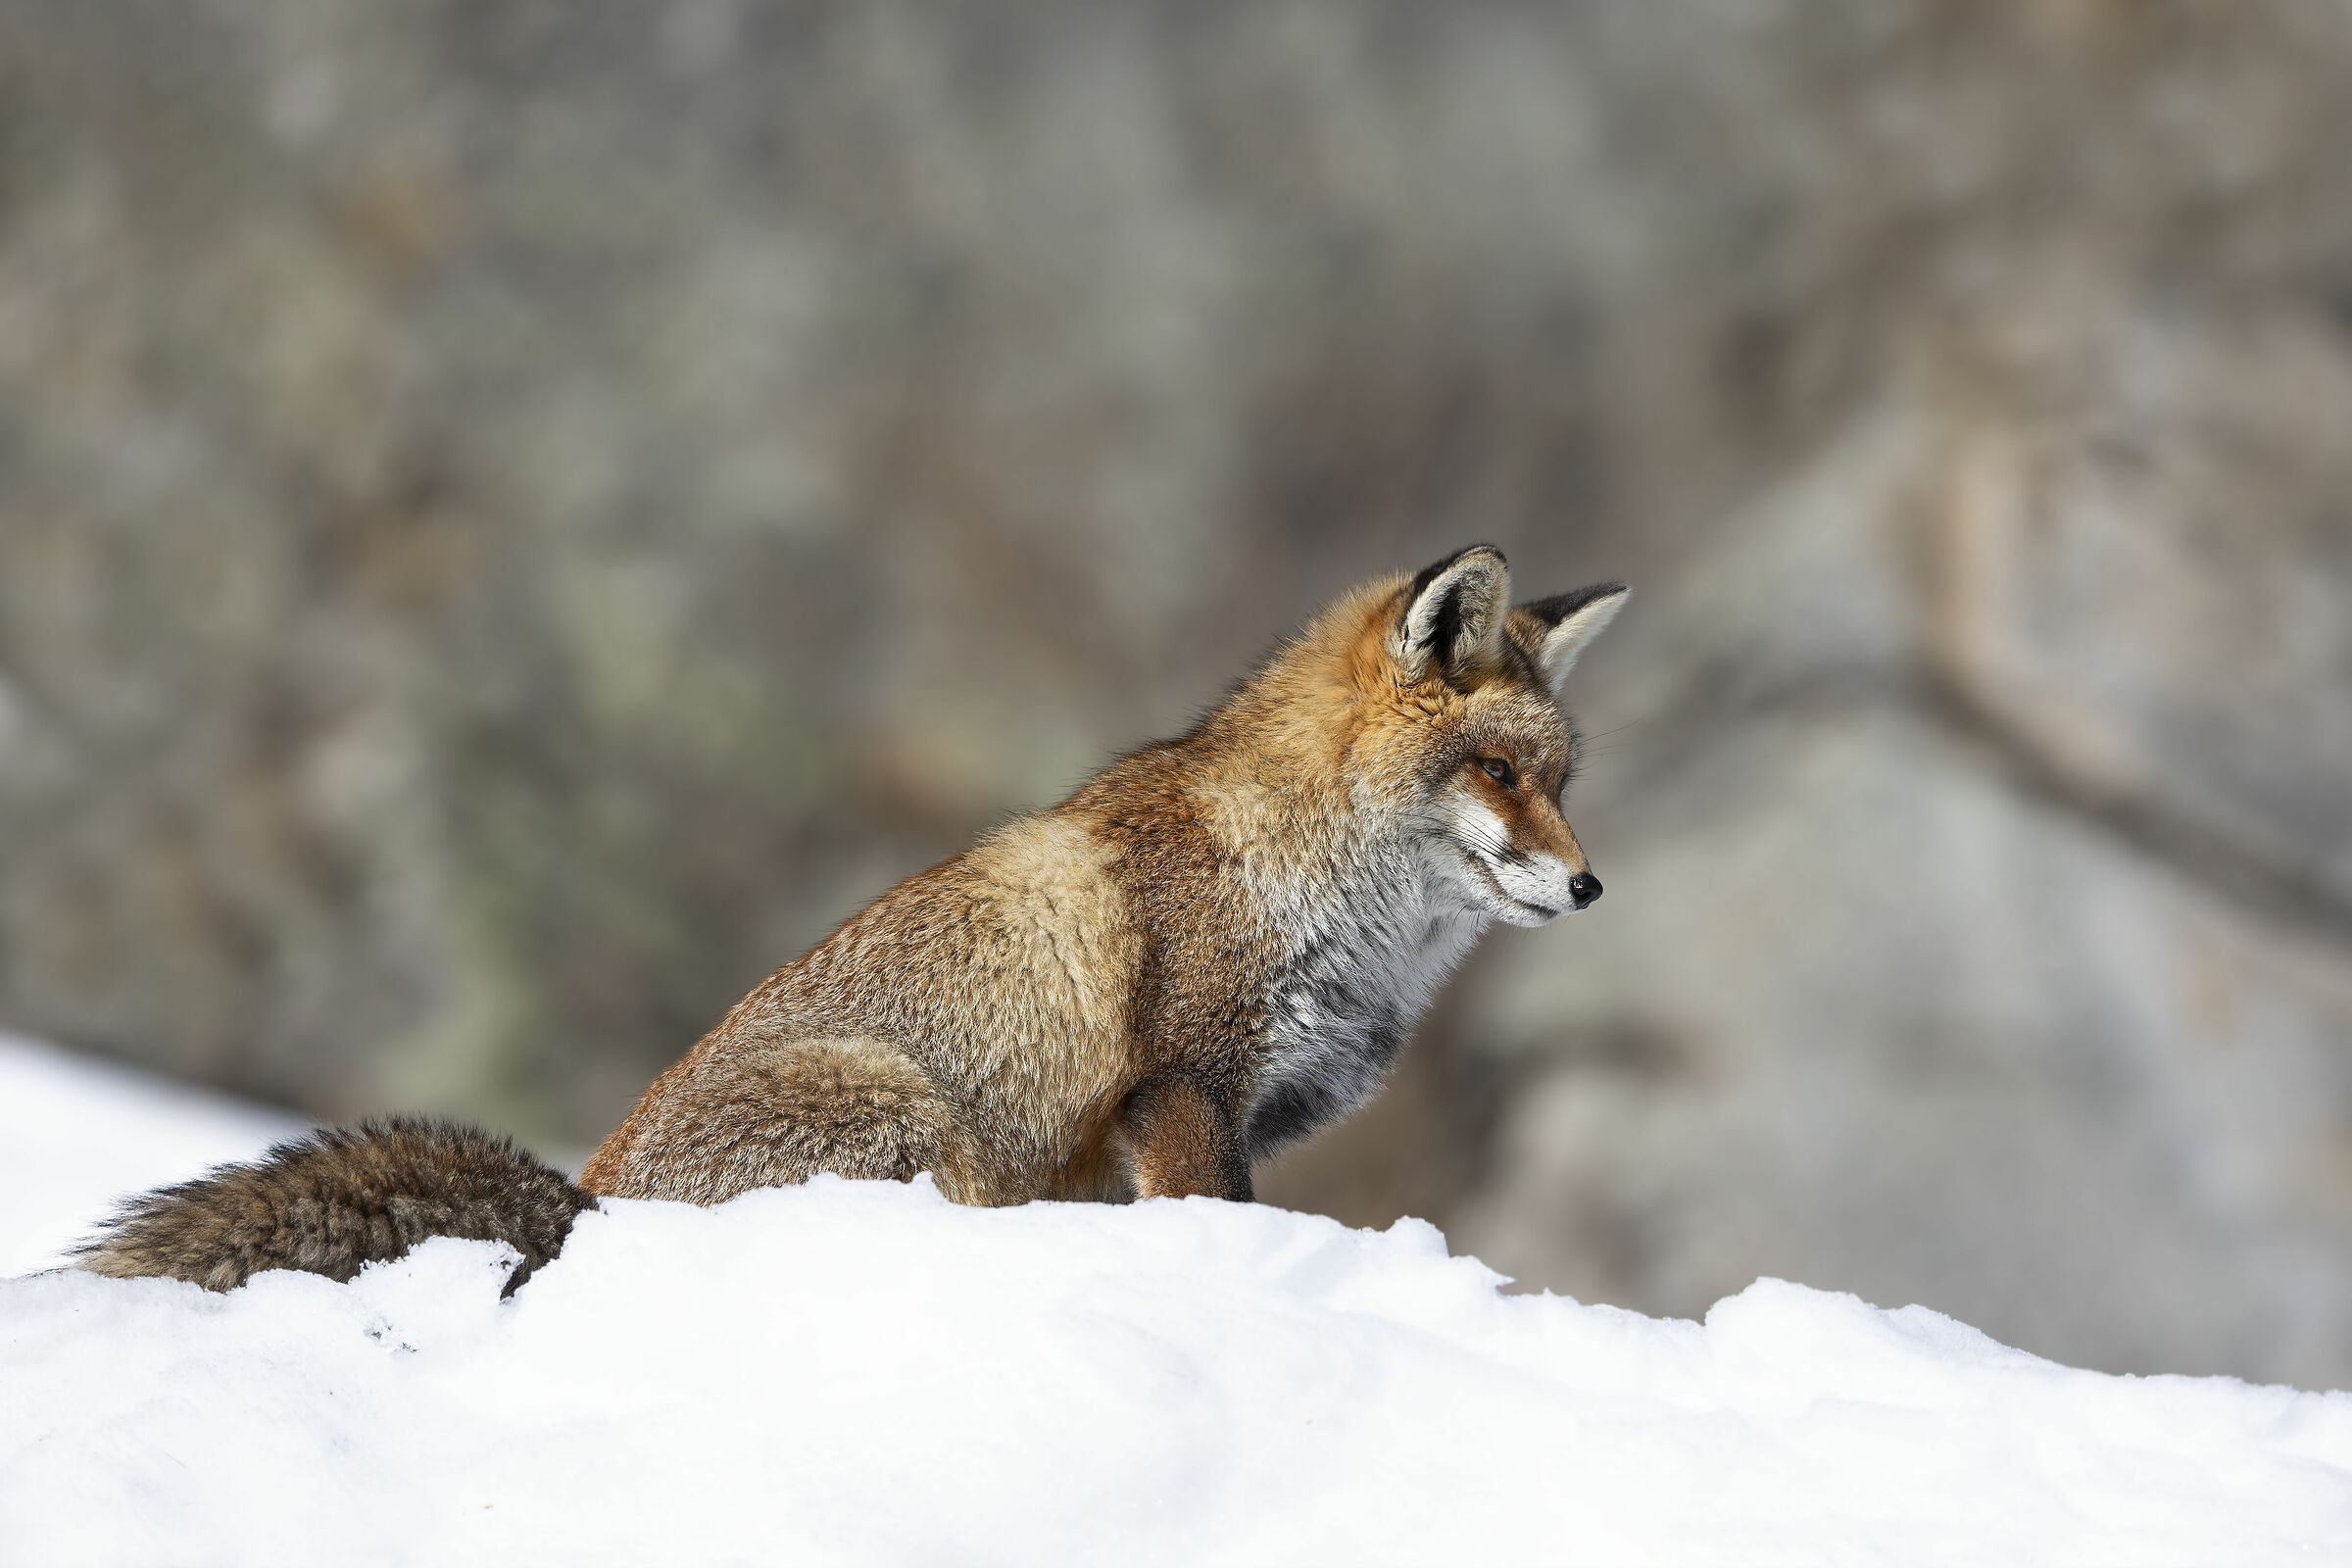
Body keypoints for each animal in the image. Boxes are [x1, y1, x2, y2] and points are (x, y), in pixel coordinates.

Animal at [77, 545, 1627, 1294]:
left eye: (1562, 783)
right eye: (1497, 775)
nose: (1589, 887)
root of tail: (586, 1208)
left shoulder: (1236, 1121)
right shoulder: (1185, 1089)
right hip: (905, 1108)